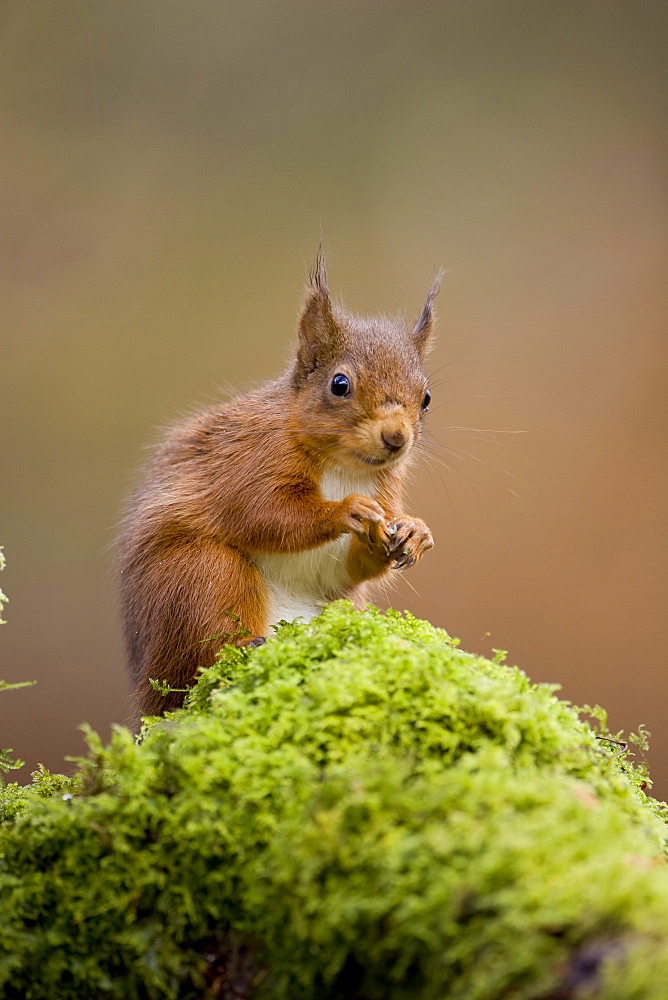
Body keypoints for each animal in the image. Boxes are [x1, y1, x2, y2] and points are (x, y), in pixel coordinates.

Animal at [117, 252, 440, 720]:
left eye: (427, 398)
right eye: (340, 384)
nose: (397, 438)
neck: (344, 468)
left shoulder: (385, 492)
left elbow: (345, 564)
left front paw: (415, 531)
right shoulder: (250, 461)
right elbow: (264, 514)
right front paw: (346, 510)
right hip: (198, 574)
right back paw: (244, 646)